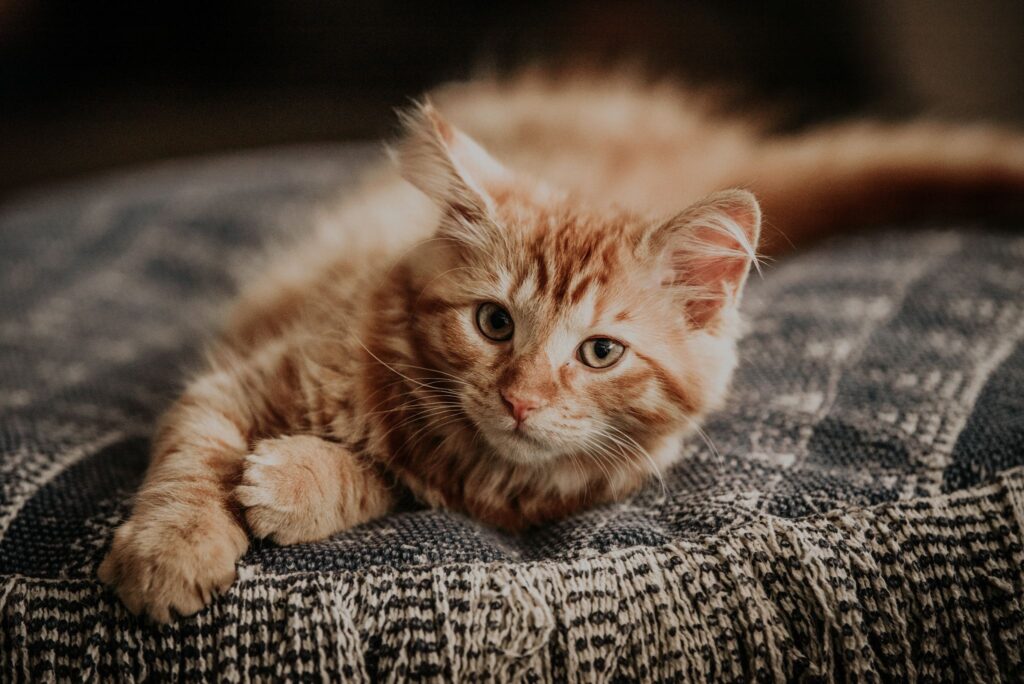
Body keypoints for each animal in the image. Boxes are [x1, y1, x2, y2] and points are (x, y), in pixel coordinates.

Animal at [97, 73, 1024, 618]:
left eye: (600, 353)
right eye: (494, 323)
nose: (521, 398)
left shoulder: (467, 496)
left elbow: (387, 486)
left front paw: (292, 481)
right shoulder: (241, 378)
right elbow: (191, 460)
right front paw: (171, 554)